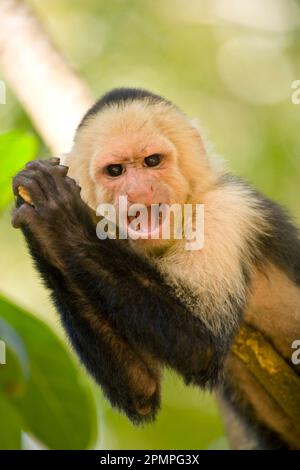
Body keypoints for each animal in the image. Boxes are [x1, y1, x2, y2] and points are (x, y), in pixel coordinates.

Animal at [11, 86, 300, 450]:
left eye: (152, 162)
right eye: (116, 171)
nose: (138, 189)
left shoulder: (227, 210)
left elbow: (200, 344)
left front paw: (59, 212)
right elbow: (142, 388)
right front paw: (38, 225)